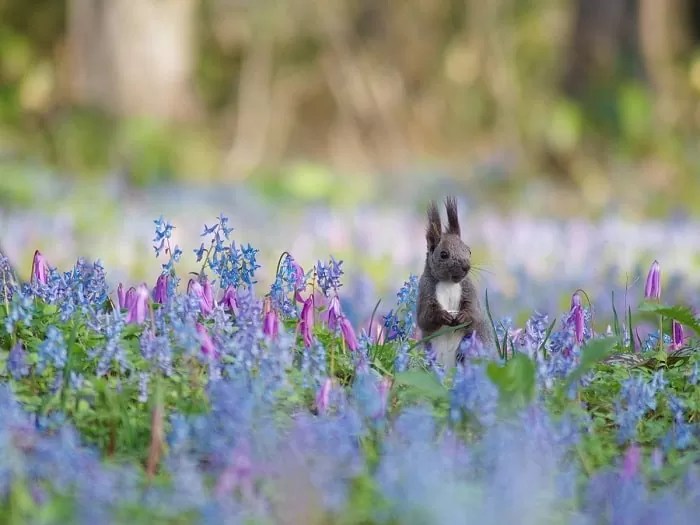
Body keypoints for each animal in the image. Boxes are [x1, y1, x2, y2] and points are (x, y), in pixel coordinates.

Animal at [416, 194, 492, 366]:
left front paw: (463, 316)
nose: (466, 266)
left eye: (469, 250)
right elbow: (424, 318)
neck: (449, 283)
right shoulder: (425, 292)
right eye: (444, 254)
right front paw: (442, 316)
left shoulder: (469, 289)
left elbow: (475, 313)